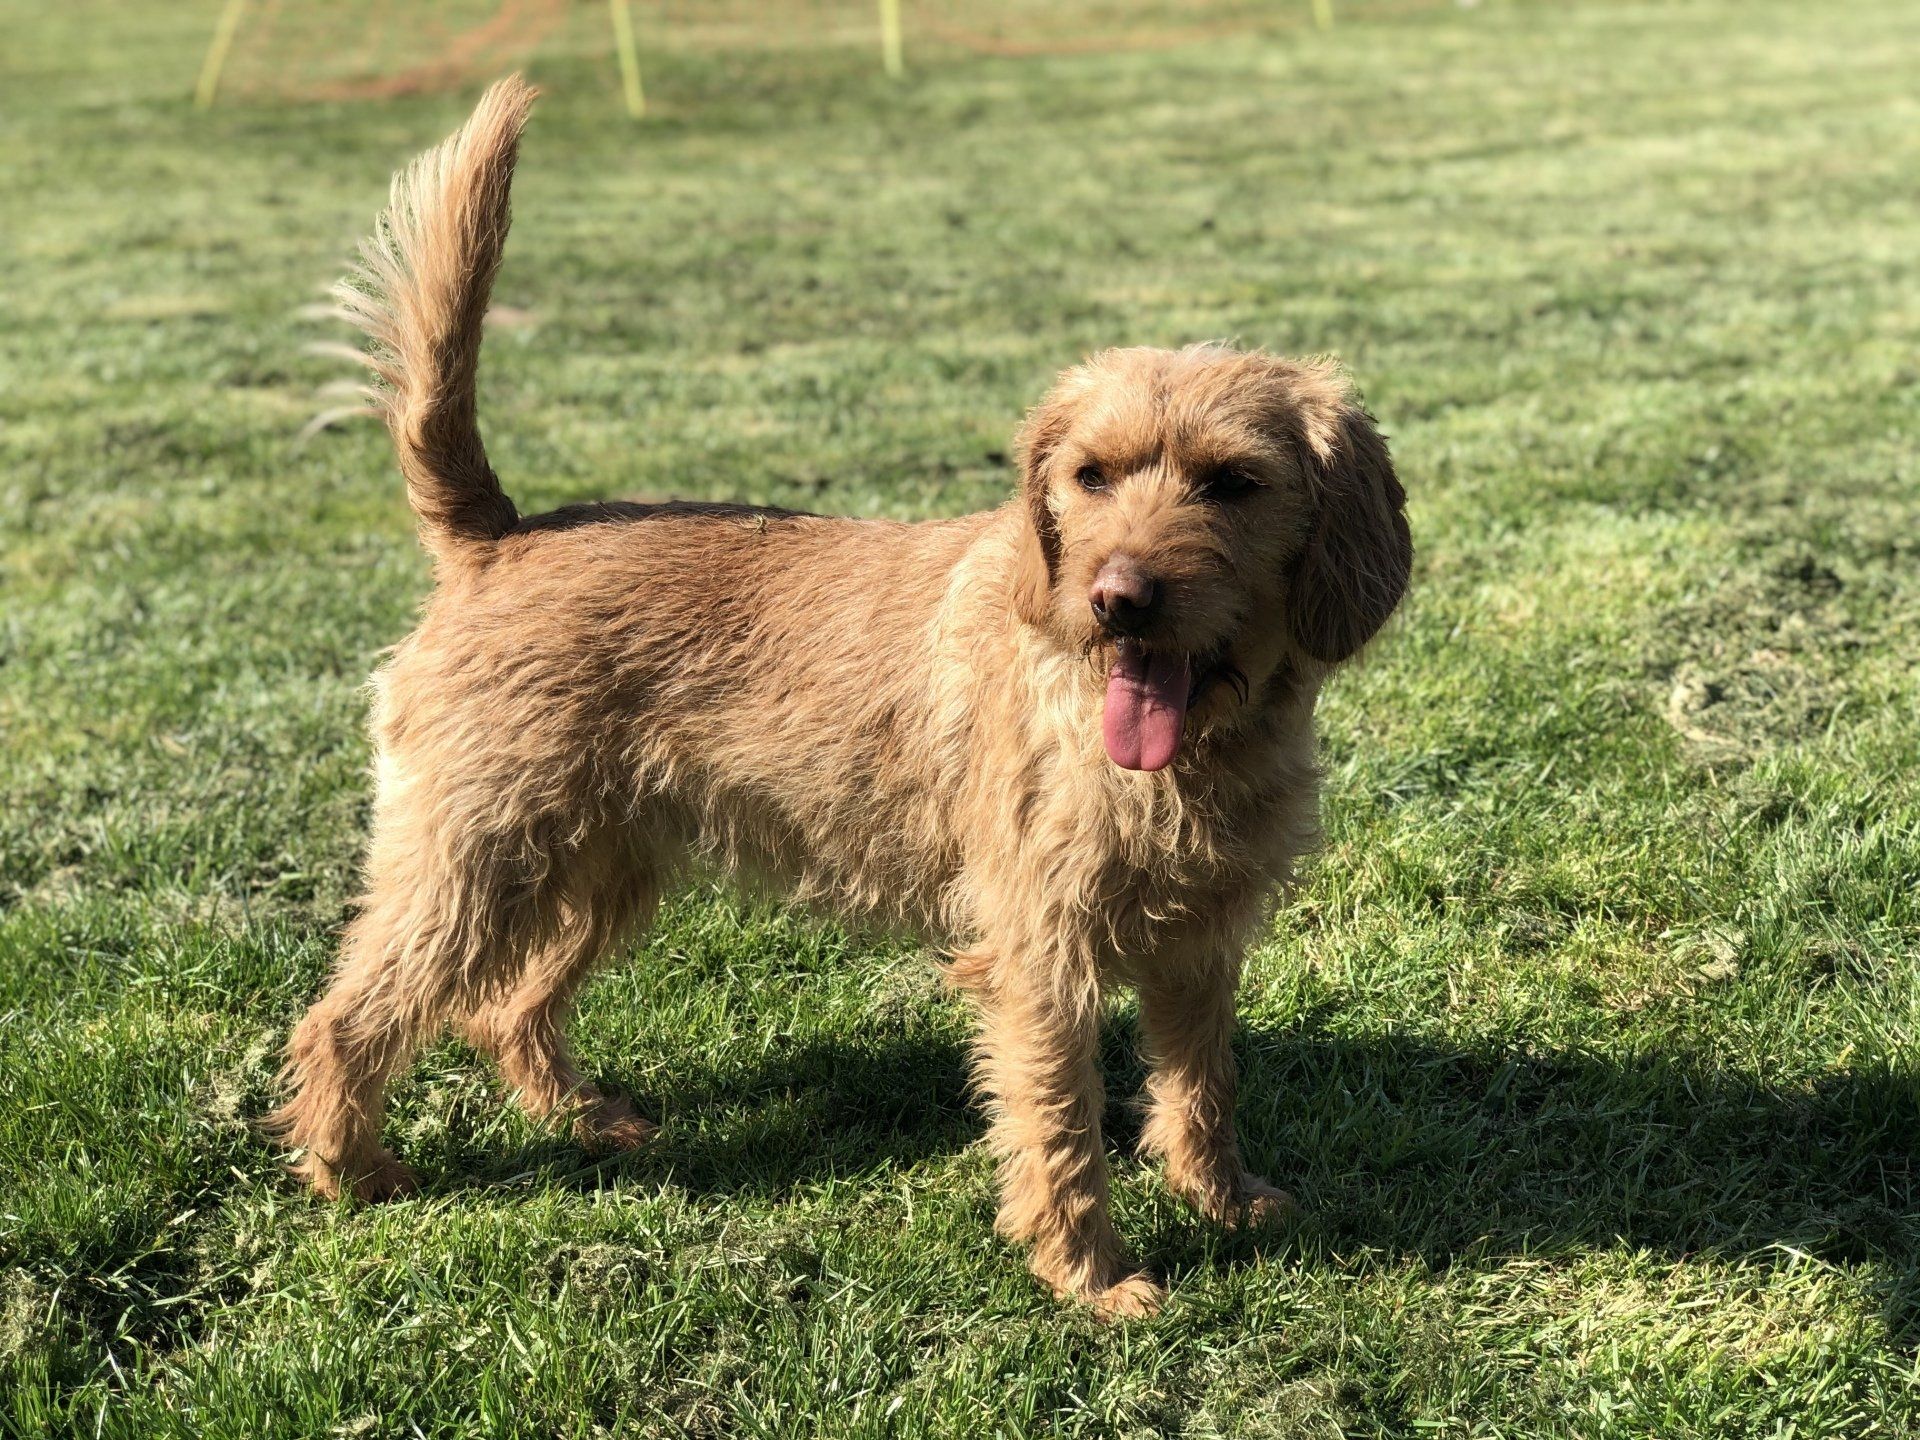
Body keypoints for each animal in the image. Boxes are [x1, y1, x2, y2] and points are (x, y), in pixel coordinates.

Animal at [268, 76, 1410, 1317]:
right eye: (1090, 476)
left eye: (1235, 482)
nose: (1119, 601)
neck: (1183, 753)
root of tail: (499, 537)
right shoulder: (1039, 955)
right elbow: (1059, 1124)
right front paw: (1090, 1279)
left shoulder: (1199, 944)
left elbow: (1202, 1084)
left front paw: (1223, 1199)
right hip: (471, 862)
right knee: (346, 1016)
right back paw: (349, 1169)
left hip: (604, 866)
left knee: (505, 1006)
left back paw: (581, 1115)